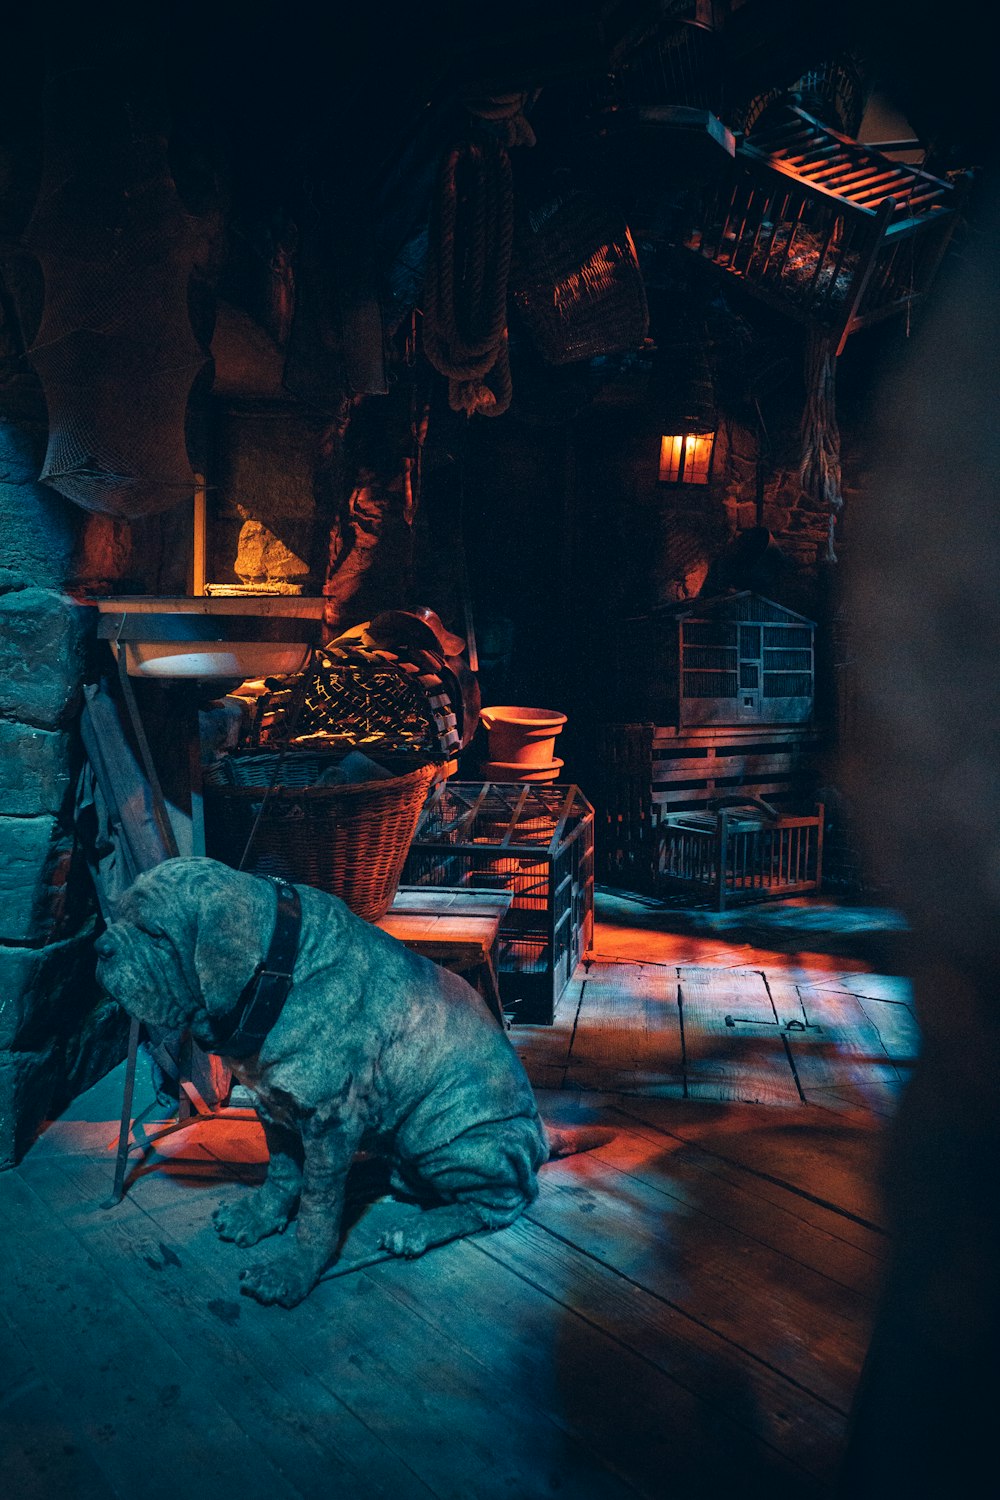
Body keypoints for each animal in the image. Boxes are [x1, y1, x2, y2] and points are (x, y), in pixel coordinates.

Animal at [93, 864, 599, 1308]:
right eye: (117, 916)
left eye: (155, 933)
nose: (100, 946)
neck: (279, 972)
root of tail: (540, 1133)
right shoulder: (272, 1107)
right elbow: (282, 1173)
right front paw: (260, 1215)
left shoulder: (330, 1121)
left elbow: (318, 1207)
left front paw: (294, 1270)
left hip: (441, 1135)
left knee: (505, 1201)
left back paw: (417, 1229)